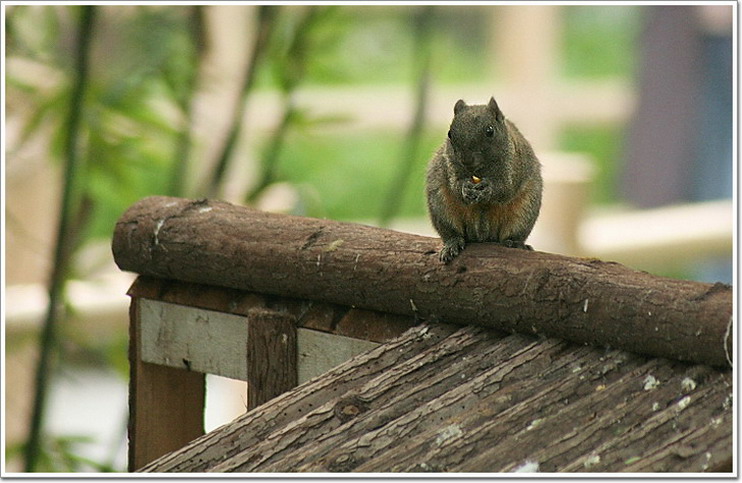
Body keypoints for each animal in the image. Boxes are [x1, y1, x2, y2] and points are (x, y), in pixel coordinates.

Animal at [428, 97, 544, 264]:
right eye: (449, 133)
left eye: (490, 131)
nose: (466, 160)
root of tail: (482, 236)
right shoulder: (449, 163)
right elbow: (455, 184)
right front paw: (464, 188)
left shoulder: (514, 165)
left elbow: (506, 188)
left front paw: (488, 189)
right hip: (441, 205)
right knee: (452, 232)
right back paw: (452, 244)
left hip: (524, 212)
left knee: (513, 233)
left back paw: (515, 243)